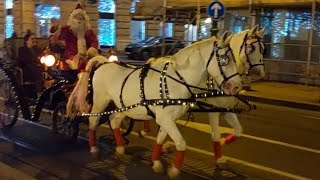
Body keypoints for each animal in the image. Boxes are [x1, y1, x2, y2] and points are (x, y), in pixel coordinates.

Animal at [68, 32, 242, 177]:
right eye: (225, 60)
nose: (236, 87)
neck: (176, 81)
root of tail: (104, 63)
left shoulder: (167, 118)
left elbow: (160, 139)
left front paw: (156, 162)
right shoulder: (165, 118)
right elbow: (181, 143)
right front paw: (174, 170)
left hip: (124, 107)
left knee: (114, 121)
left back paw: (120, 149)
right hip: (100, 102)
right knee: (93, 121)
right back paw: (94, 148)